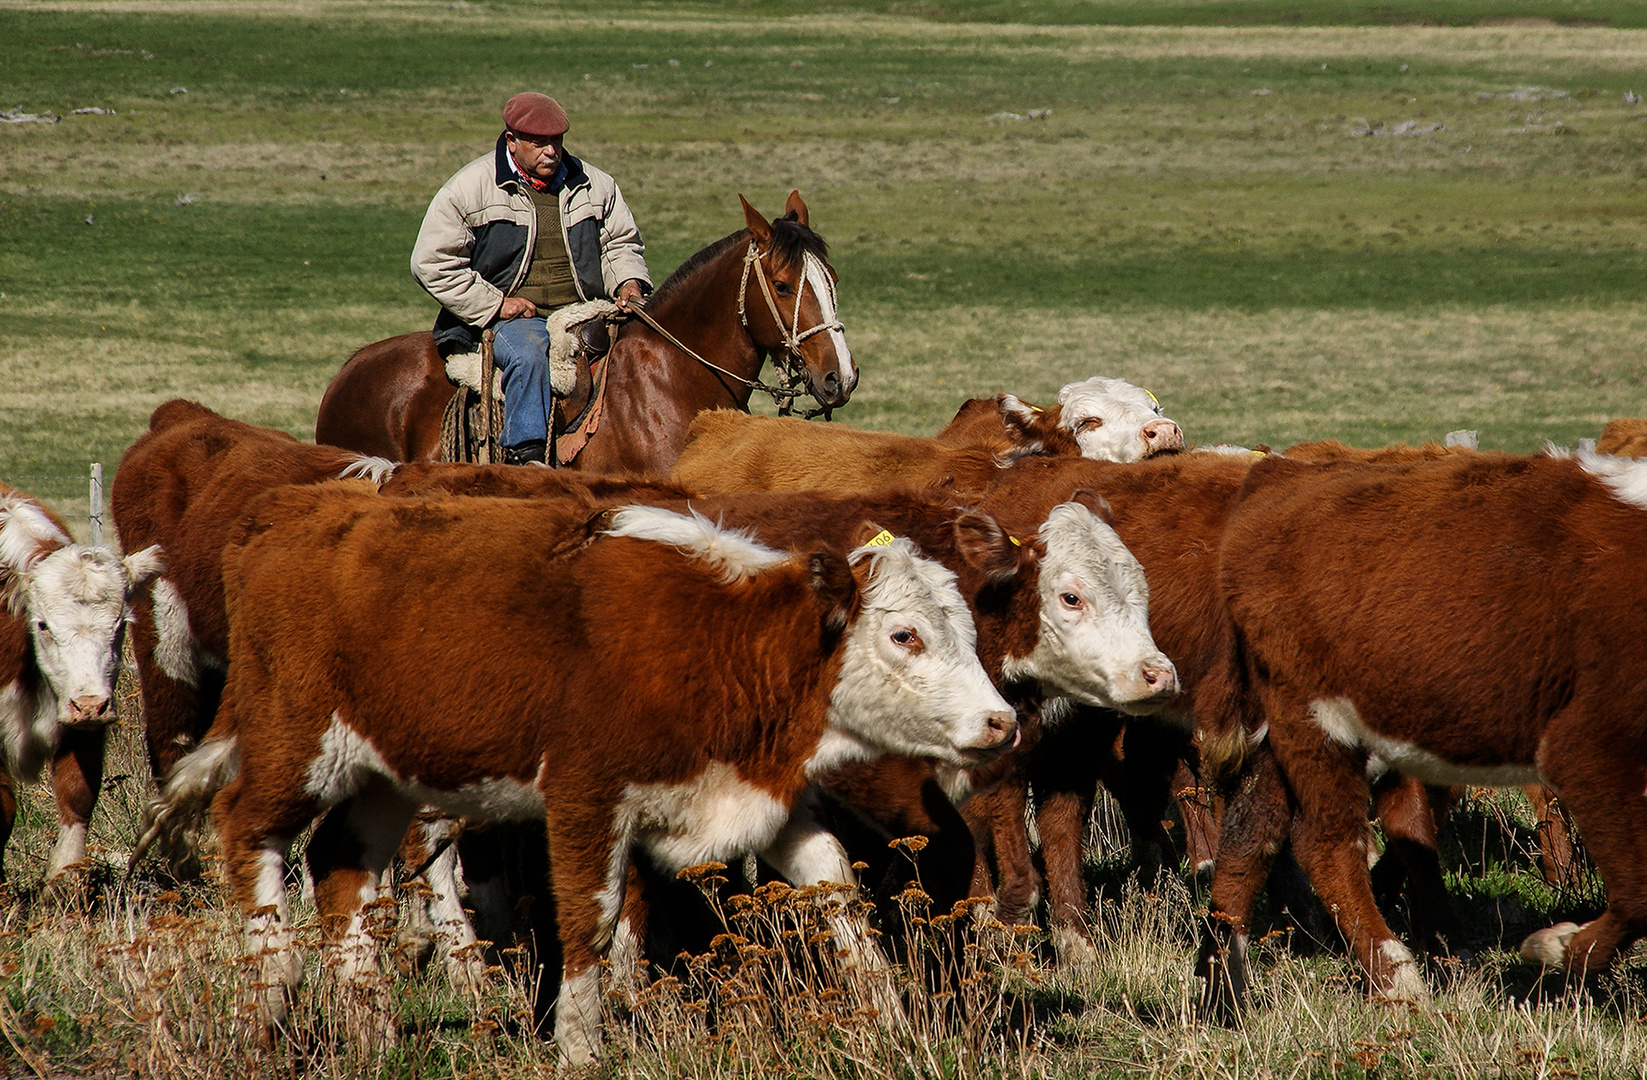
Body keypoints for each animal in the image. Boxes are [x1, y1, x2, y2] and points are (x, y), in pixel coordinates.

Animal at [0, 484, 159, 882]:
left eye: (121, 624)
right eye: (43, 624)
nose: (90, 705)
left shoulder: (83, 723)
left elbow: (78, 796)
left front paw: (63, 880)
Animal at [163, 490, 1014, 1060]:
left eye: (968, 631)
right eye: (904, 636)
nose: (1000, 723)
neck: (715, 639)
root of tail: (286, 512)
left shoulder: (766, 796)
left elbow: (836, 889)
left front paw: (890, 1020)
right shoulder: (585, 797)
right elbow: (591, 920)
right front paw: (579, 1045)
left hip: (384, 774)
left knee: (339, 867)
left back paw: (372, 1026)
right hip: (296, 745)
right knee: (247, 829)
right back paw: (270, 996)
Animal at [1199, 451, 1647, 1007]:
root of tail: (1281, 472)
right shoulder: (1586, 746)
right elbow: (1638, 891)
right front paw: (1555, 946)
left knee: (1256, 829)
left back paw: (1221, 982)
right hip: (1311, 716)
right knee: (1325, 842)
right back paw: (1397, 977)